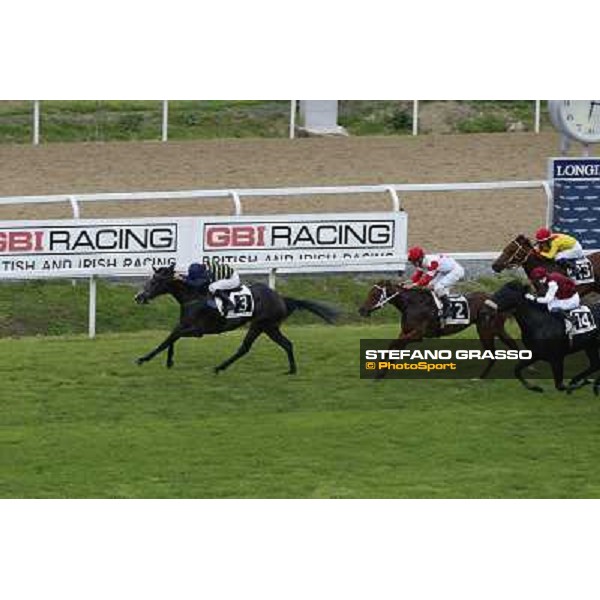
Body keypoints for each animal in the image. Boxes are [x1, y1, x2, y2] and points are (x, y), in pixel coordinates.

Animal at [135, 264, 338, 372]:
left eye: (155, 281)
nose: (139, 297)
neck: (194, 295)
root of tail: (281, 298)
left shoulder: (197, 330)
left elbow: (170, 338)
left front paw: (144, 359)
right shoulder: (185, 325)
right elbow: (171, 337)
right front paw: (169, 361)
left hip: (260, 325)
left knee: (245, 348)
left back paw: (219, 367)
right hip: (269, 327)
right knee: (286, 344)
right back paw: (291, 370)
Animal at [358, 282, 516, 378]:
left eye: (374, 294)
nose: (361, 310)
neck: (412, 304)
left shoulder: (417, 334)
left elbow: (393, 344)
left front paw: (380, 369)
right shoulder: (406, 332)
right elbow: (394, 347)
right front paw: (381, 373)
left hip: (485, 329)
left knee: (493, 355)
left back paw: (481, 377)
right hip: (497, 328)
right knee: (512, 344)